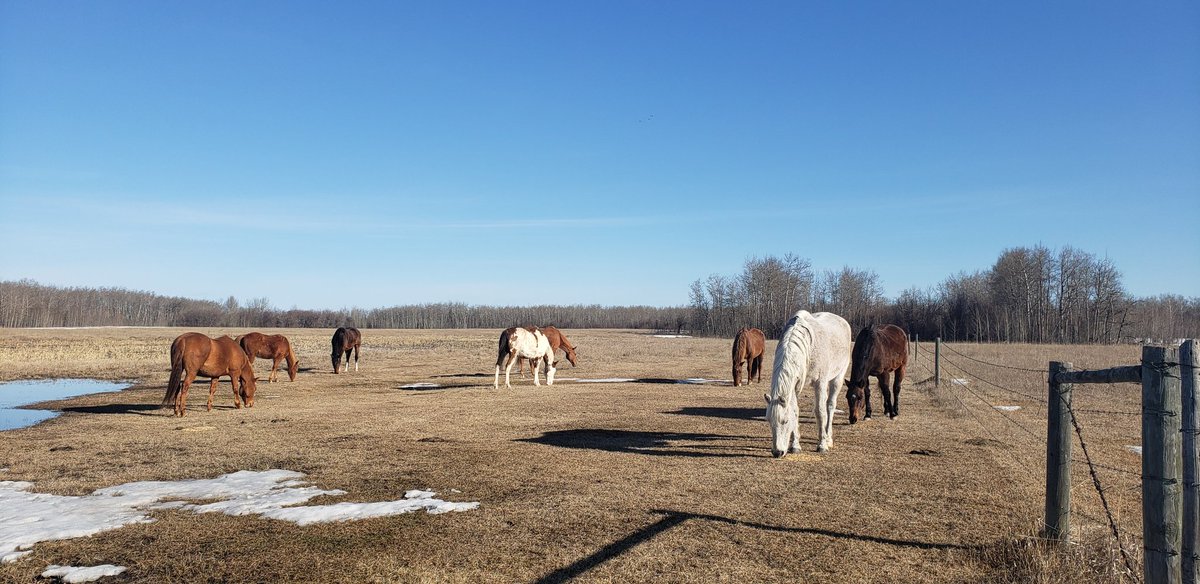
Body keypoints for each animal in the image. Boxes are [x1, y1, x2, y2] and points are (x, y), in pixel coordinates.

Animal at [764, 311, 851, 457]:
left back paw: (828, 438)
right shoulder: (794, 386)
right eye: (769, 421)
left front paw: (822, 445)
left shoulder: (820, 383)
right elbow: (795, 411)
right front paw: (795, 446)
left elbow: (820, 412)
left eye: (785, 421)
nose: (777, 452)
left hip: (837, 378)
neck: (809, 348)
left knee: (830, 406)